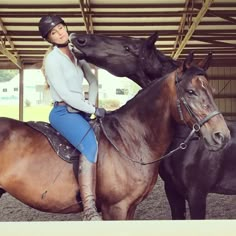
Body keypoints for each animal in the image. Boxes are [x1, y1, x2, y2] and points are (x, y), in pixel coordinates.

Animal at [0, 54, 230, 219]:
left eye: (211, 90)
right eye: (191, 92)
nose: (222, 136)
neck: (130, 139)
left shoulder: (130, 208)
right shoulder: (115, 208)